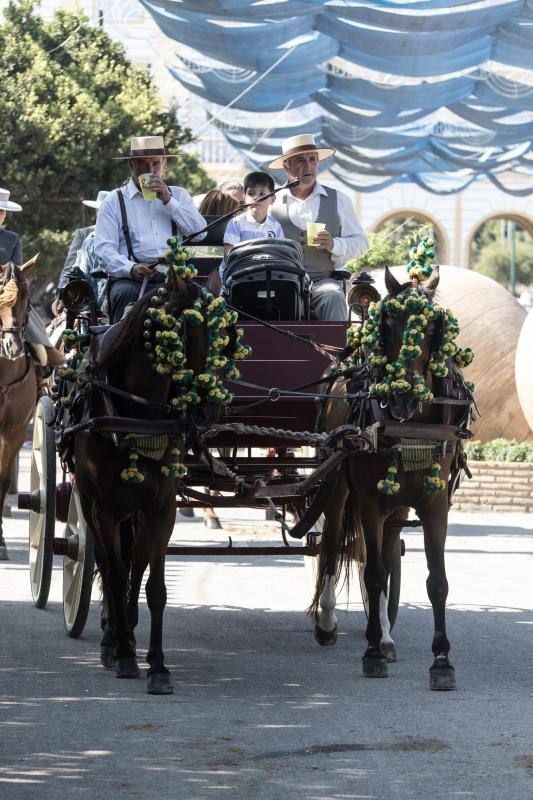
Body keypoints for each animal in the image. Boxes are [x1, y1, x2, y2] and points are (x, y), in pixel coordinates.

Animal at [72, 274, 235, 692]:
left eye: (226, 336)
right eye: (188, 331)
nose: (209, 410)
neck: (137, 415)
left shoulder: (162, 508)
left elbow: (155, 587)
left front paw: (158, 666)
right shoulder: (104, 509)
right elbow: (113, 577)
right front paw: (124, 655)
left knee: (137, 562)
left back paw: (127, 627)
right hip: (89, 503)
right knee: (108, 565)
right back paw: (113, 640)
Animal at [310, 266, 472, 692]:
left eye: (433, 327)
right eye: (387, 325)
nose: (403, 398)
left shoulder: (434, 504)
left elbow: (435, 580)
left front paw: (441, 660)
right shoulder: (367, 499)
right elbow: (370, 574)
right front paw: (369, 654)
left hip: (396, 508)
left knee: (384, 554)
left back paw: (384, 635)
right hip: (338, 486)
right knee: (332, 543)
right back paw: (328, 621)